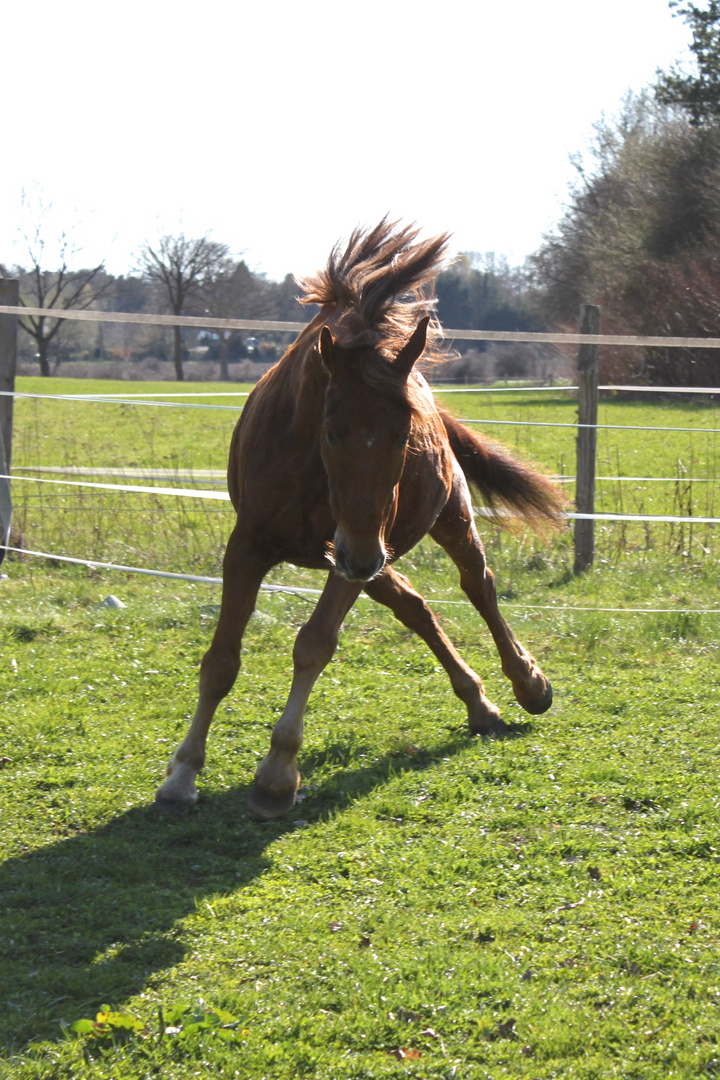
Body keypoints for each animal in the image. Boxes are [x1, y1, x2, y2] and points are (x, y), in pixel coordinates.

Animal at [156, 221, 561, 816]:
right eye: (332, 430)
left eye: (403, 434)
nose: (359, 555)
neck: (309, 467)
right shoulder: (252, 547)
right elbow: (221, 660)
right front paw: (183, 772)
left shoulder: (352, 554)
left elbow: (314, 644)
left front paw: (277, 773)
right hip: (372, 556)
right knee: (415, 606)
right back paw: (479, 705)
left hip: (434, 526)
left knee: (479, 585)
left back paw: (529, 684)